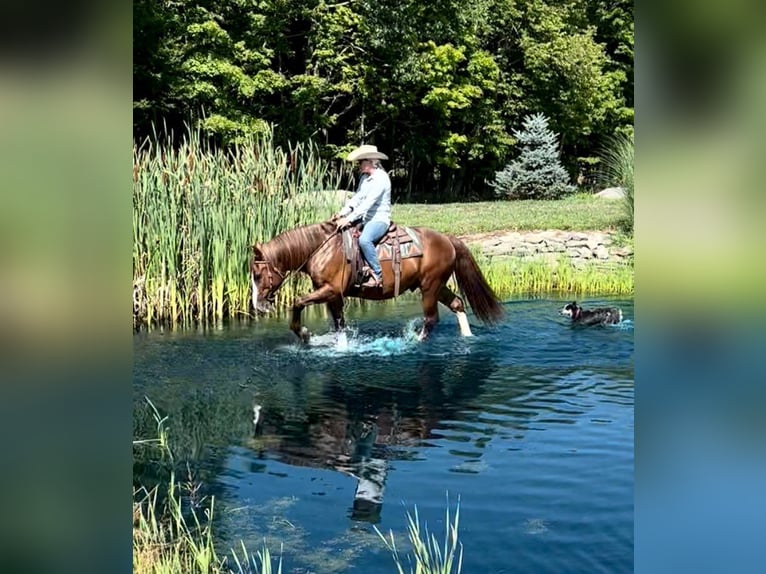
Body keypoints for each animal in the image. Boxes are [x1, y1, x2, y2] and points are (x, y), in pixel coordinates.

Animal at [249, 222, 508, 344]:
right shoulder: (333, 295)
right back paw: (467, 338)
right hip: (436, 285)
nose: (257, 305)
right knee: (457, 303)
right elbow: (339, 324)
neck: (321, 249)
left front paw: (304, 334)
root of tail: (448, 239)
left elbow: (297, 302)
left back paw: (414, 342)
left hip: (430, 286)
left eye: (258, 274)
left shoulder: (330, 290)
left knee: (431, 319)